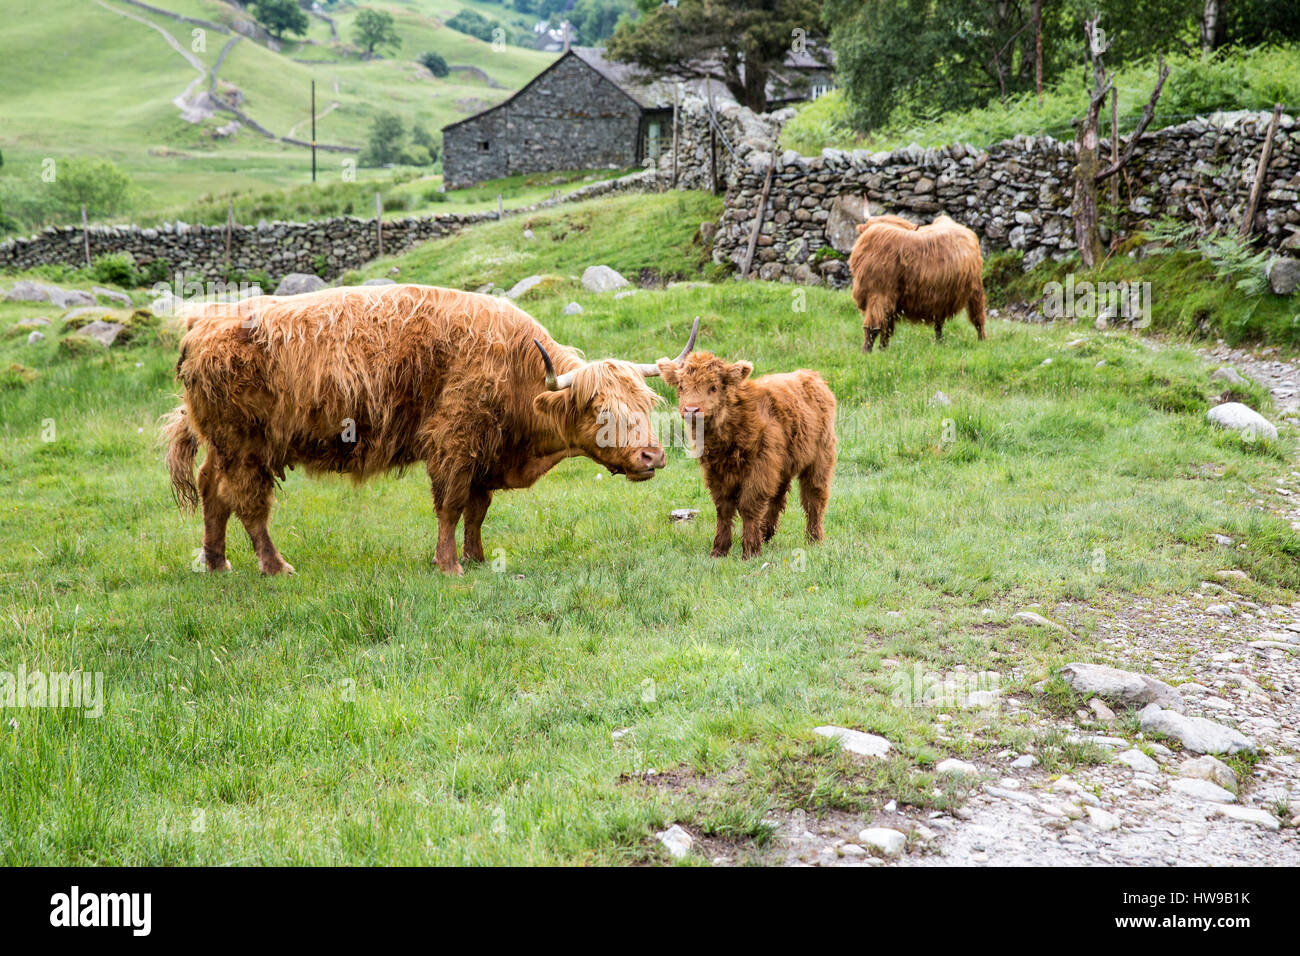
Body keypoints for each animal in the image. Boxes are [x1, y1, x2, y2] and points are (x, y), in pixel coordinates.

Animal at [163, 284, 698, 575]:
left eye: (647, 404)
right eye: (600, 408)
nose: (652, 456)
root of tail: (201, 322)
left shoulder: (485, 454)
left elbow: (478, 511)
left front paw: (477, 557)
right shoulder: (454, 441)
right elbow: (452, 505)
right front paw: (450, 564)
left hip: (223, 444)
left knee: (213, 490)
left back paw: (217, 561)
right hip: (246, 445)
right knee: (249, 503)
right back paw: (275, 566)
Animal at [654, 351, 836, 560]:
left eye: (713, 387)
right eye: (681, 387)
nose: (691, 410)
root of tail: (813, 376)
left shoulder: (761, 466)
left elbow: (749, 505)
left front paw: (750, 551)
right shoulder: (715, 471)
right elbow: (723, 508)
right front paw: (720, 550)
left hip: (820, 457)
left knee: (814, 497)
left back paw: (814, 539)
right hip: (783, 465)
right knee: (778, 497)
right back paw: (765, 533)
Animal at [848, 213, 987, 352]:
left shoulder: (879, 294)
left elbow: (873, 326)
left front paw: (866, 351)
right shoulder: (889, 300)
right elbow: (886, 328)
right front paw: (883, 349)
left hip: (975, 290)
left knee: (978, 317)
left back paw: (982, 340)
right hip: (940, 298)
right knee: (938, 324)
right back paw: (939, 342)